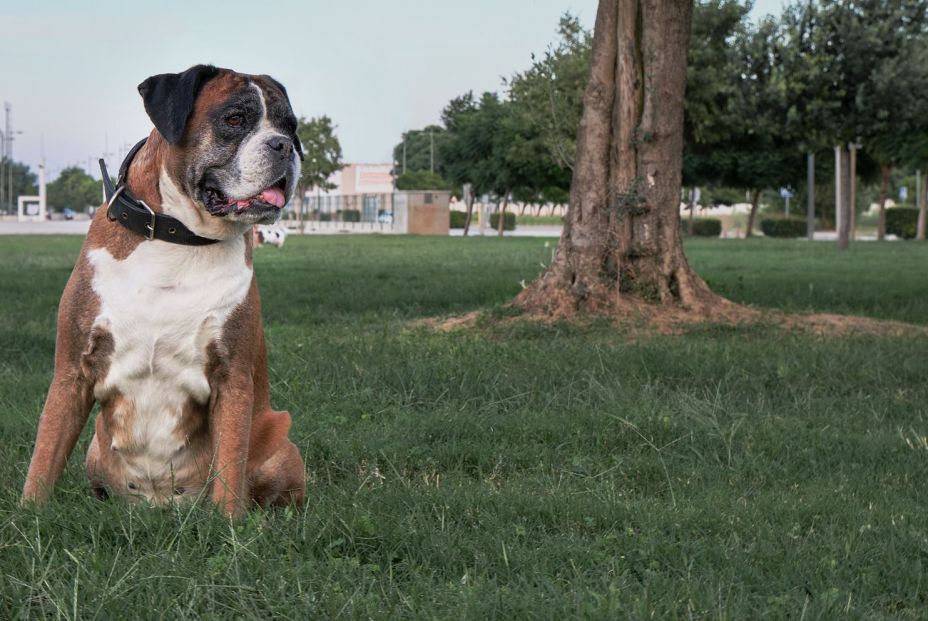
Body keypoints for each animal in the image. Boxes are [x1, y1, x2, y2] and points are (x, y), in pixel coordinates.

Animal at [21, 65, 306, 516]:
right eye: (234, 119)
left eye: (290, 127)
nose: (282, 145)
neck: (178, 237)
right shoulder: (72, 371)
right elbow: (45, 453)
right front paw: (29, 514)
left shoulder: (233, 378)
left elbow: (230, 462)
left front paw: (231, 524)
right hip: (94, 448)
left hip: (280, 435)